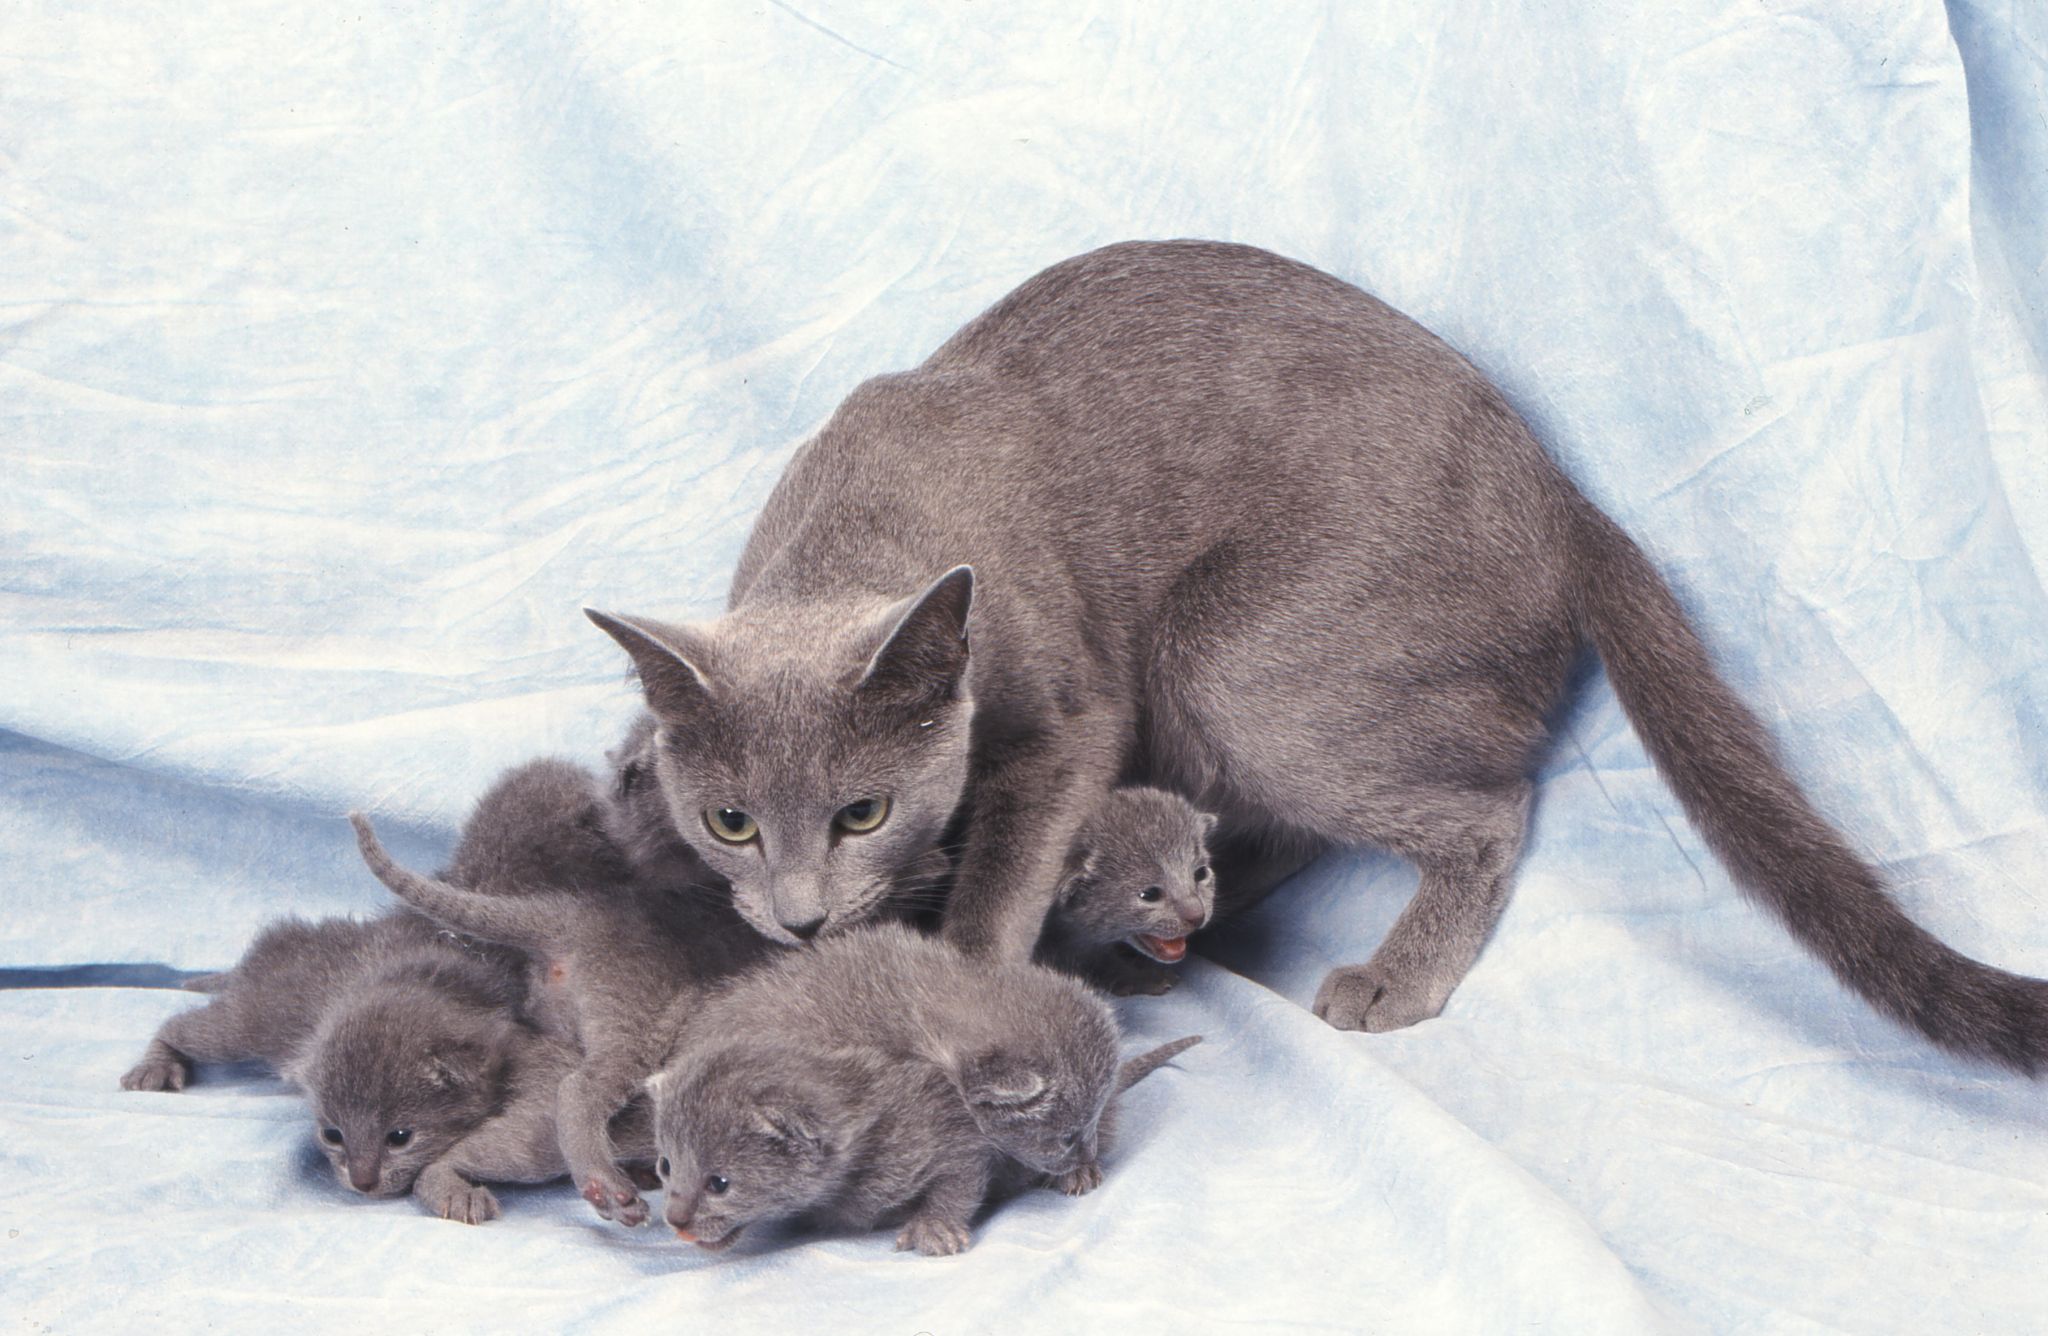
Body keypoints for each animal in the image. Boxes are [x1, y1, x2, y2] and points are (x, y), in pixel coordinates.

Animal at [651, 1028, 1196, 1254]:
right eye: (665, 1167)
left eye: (719, 1183)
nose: (673, 1218)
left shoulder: (953, 1134)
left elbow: (959, 1176)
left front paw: (934, 1227)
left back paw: (1078, 1167)